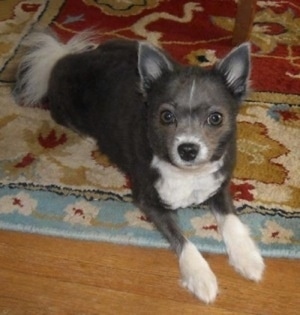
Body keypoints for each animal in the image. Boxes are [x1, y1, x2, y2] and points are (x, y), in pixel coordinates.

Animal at [14, 31, 264, 304]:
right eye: (166, 116)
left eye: (215, 118)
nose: (188, 149)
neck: (187, 173)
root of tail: (65, 58)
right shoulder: (150, 201)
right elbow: (182, 240)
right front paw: (200, 275)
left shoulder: (219, 186)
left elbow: (231, 220)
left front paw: (247, 257)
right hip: (67, 111)